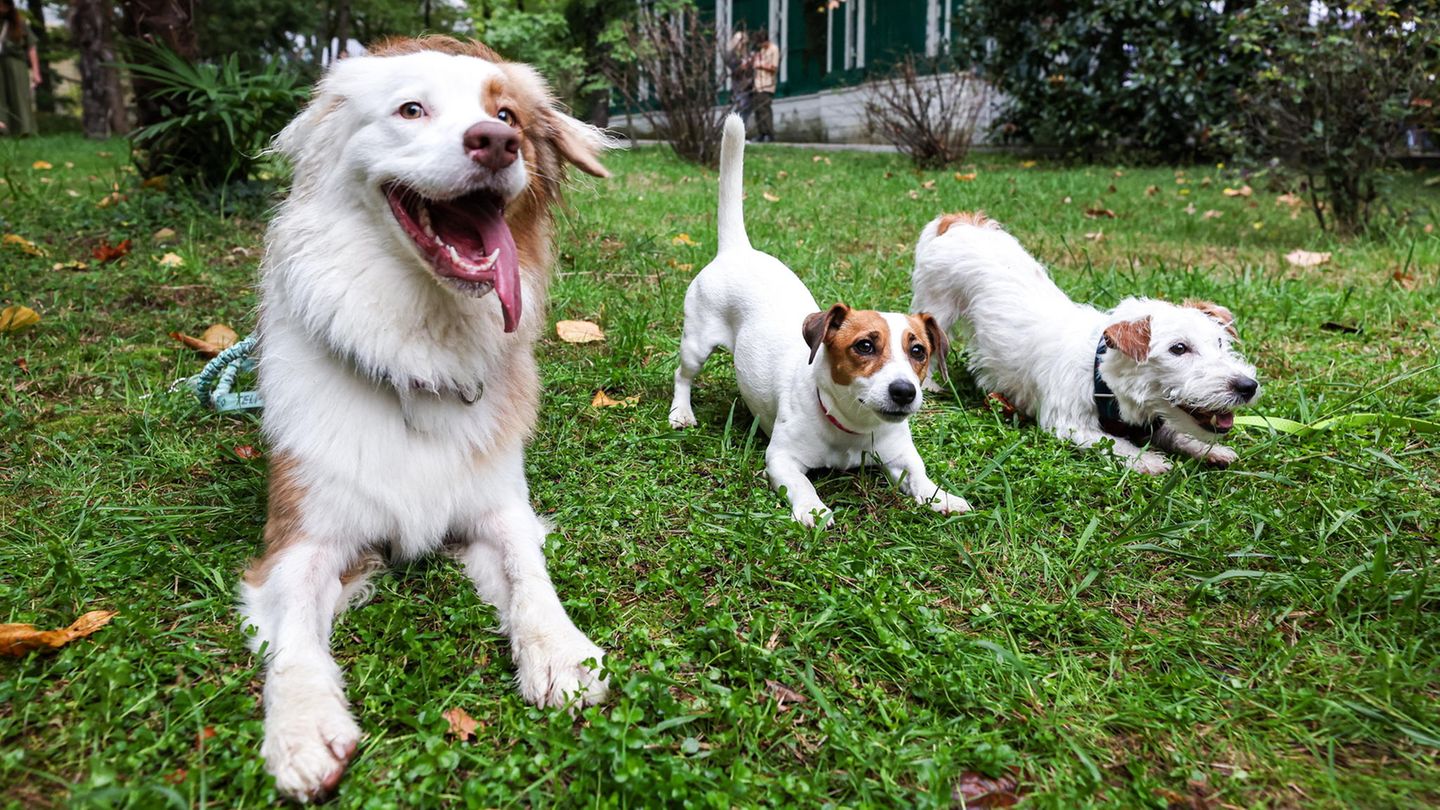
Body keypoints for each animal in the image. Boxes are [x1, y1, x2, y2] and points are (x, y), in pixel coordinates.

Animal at [239, 36, 610, 795]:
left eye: (508, 115)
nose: (496, 141)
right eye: (411, 109)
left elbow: (530, 574)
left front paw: (559, 650)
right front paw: (301, 724)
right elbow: (294, 628)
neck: (417, 354)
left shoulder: (500, 507)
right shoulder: (299, 538)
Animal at [665, 116, 967, 527]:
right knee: (683, 375)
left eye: (918, 351)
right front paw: (813, 509)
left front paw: (941, 496)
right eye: (865, 345)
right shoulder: (781, 459)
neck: (853, 427)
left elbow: (919, 475)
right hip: (696, 342)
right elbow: (801, 483)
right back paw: (681, 412)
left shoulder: (901, 455)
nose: (904, 391)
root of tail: (737, 250)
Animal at [915, 211, 1255, 472]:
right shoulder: (1069, 425)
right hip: (938, 308)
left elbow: (1175, 432)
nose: (1247, 386)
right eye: (1179, 348)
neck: (1099, 374)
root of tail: (959, 220)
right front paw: (1146, 461)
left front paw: (1208, 450)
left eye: (1220, 344)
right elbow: (1113, 442)